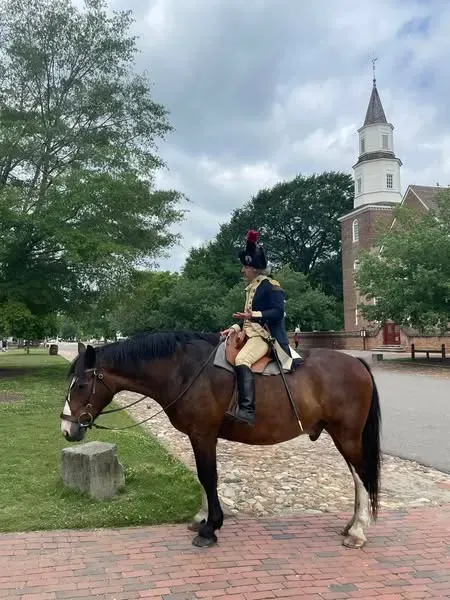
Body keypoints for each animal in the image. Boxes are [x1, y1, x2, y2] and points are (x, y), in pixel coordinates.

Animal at [61, 330, 382, 552]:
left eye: (81, 385)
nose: (67, 428)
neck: (185, 371)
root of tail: (357, 363)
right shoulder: (200, 437)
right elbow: (203, 477)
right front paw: (203, 518)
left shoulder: (203, 434)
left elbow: (208, 476)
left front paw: (211, 527)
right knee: (357, 477)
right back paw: (352, 526)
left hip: (347, 435)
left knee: (361, 475)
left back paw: (358, 531)